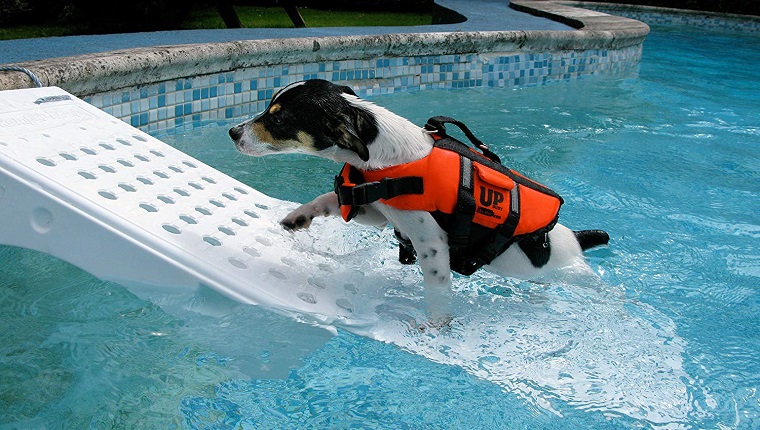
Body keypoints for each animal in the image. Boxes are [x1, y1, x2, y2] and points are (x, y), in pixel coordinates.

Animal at [229, 79, 608, 320]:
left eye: (278, 117)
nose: (232, 132)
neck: (387, 154)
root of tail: (577, 241)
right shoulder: (377, 212)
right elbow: (329, 199)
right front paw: (300, 215)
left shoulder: (432, 245)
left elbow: (438, 291)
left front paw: (438, 326)